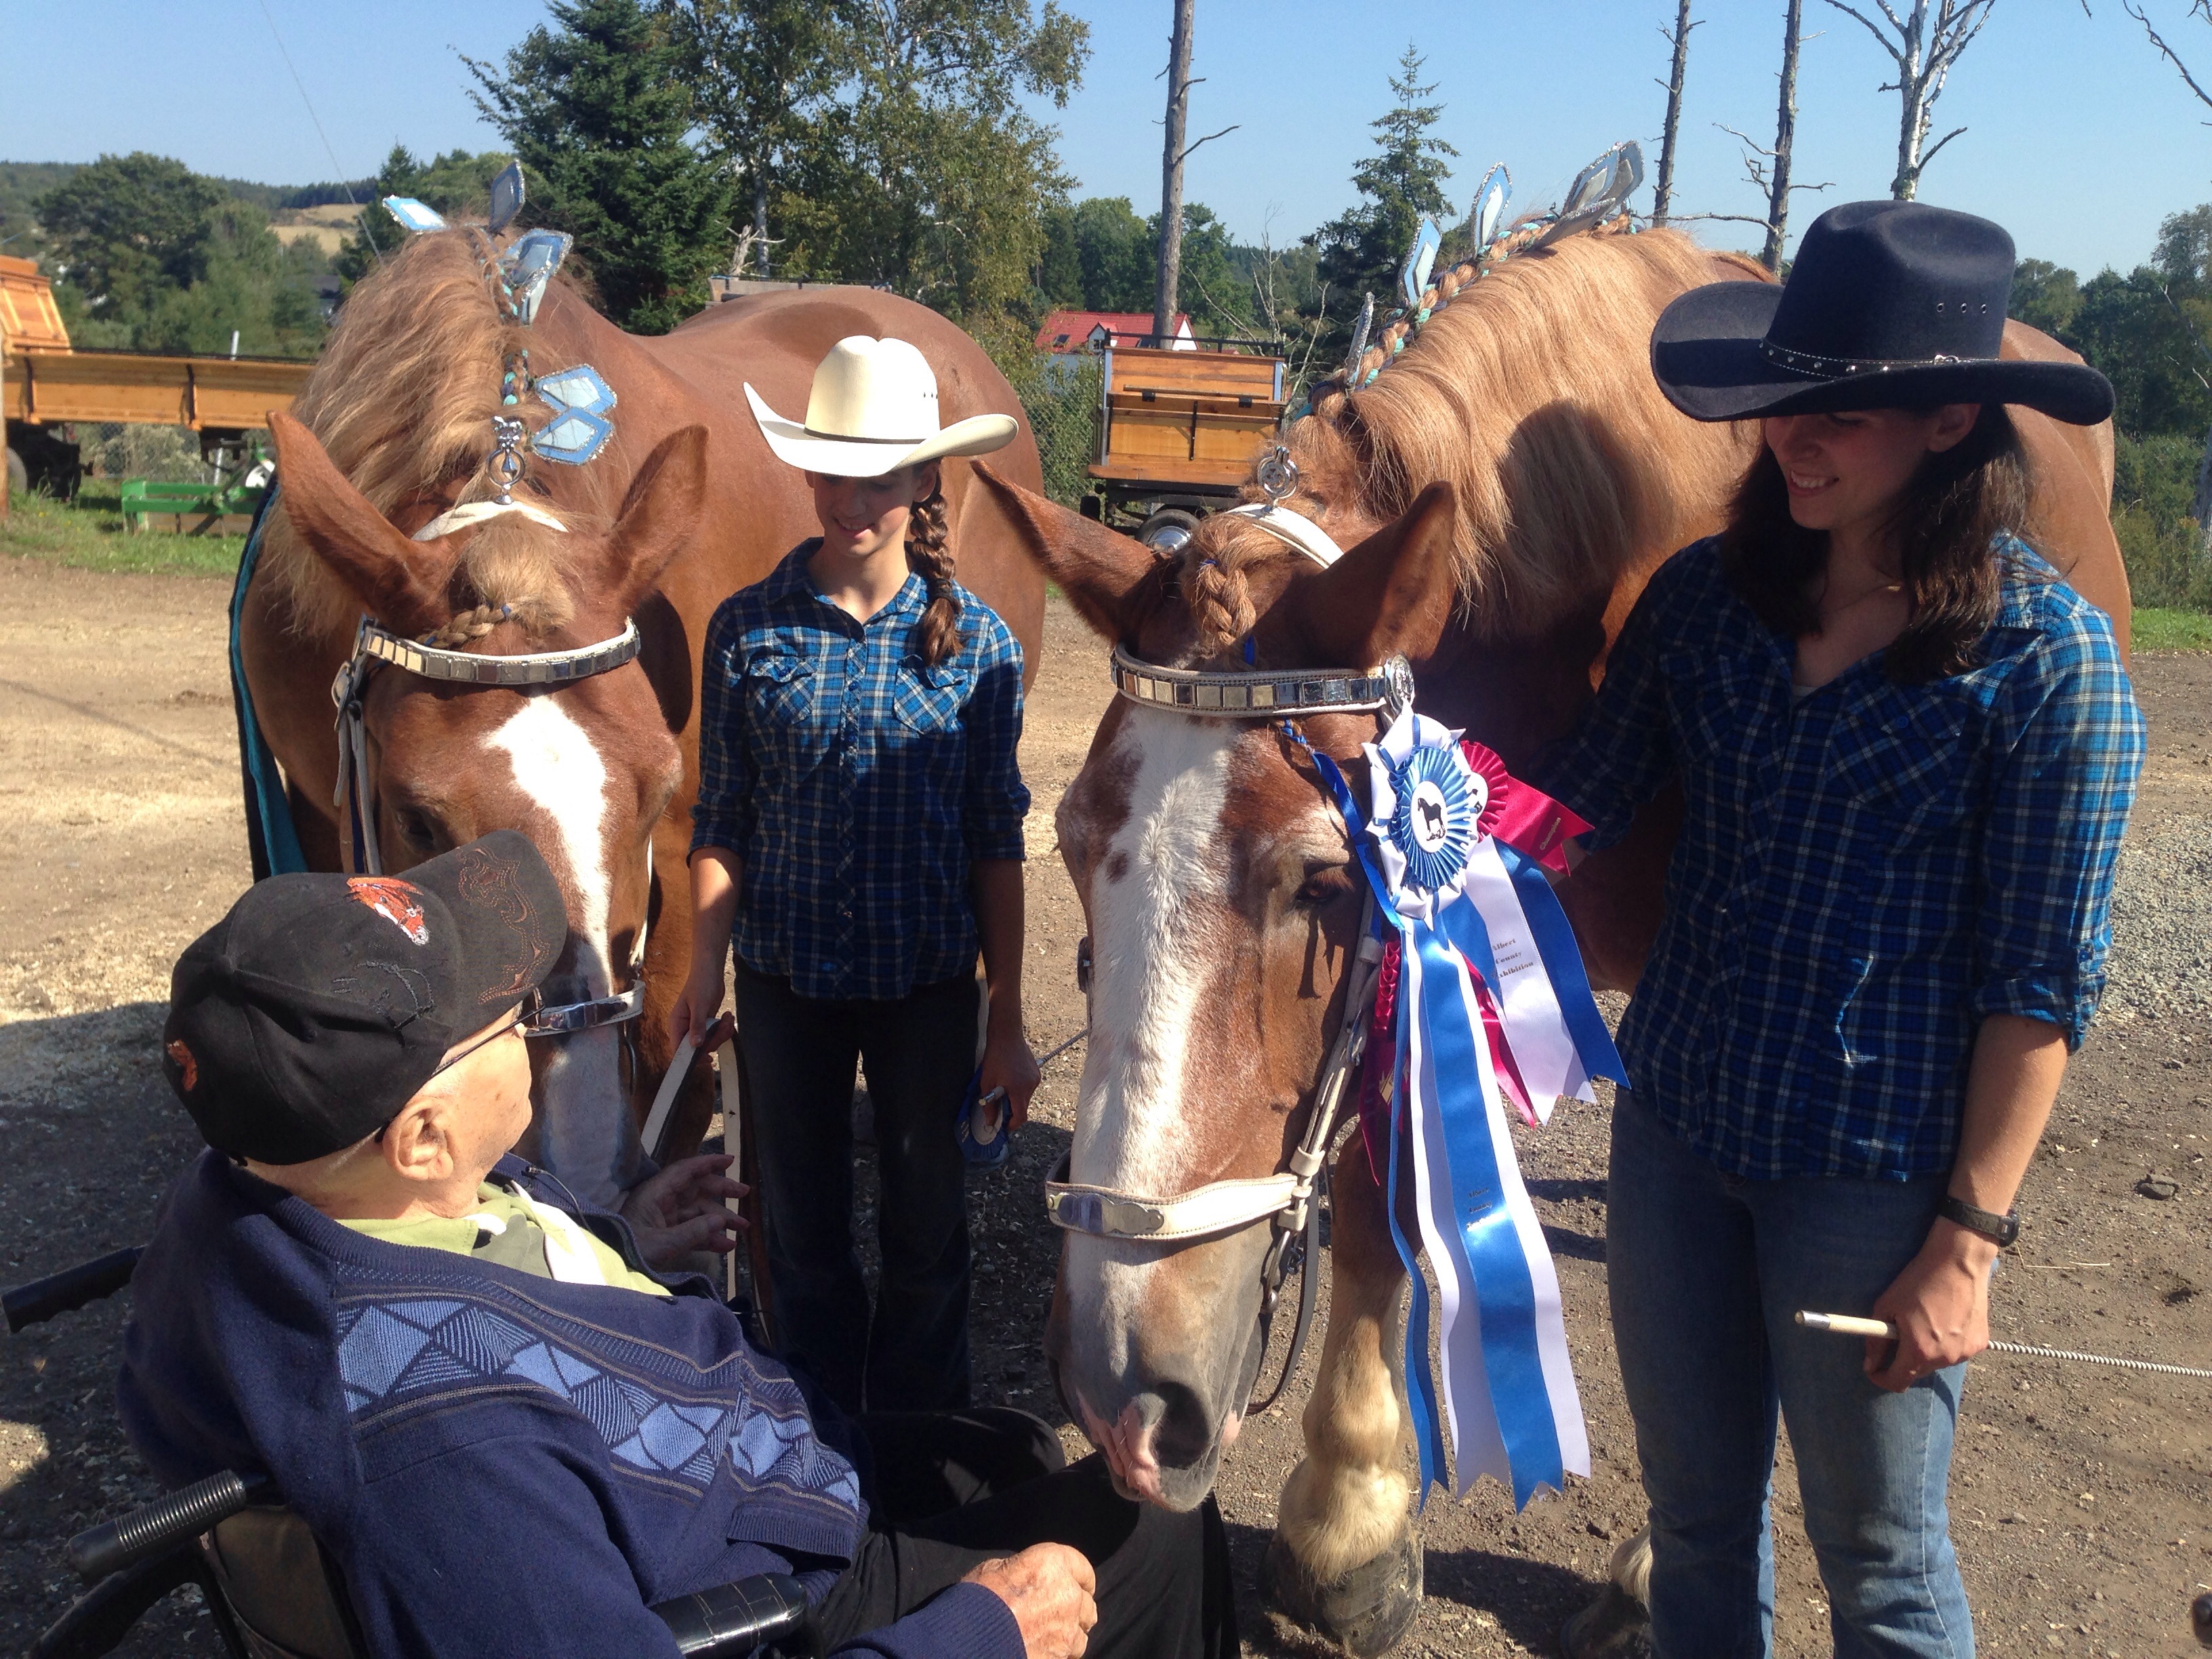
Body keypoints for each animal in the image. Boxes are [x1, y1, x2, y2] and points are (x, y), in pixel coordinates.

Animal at [237, 234, 1048, 1212]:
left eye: (656, 788)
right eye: (418, 820)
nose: (576, 1158)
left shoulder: (691, 837)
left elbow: (675, 1054)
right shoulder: (318, 811)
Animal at [973, 218, 2123, 1654]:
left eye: (1321, 884)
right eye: (1074, 844)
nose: (1123, 1385)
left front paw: (1643, 1564)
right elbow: (1382, 1189)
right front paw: (1351, 1525)